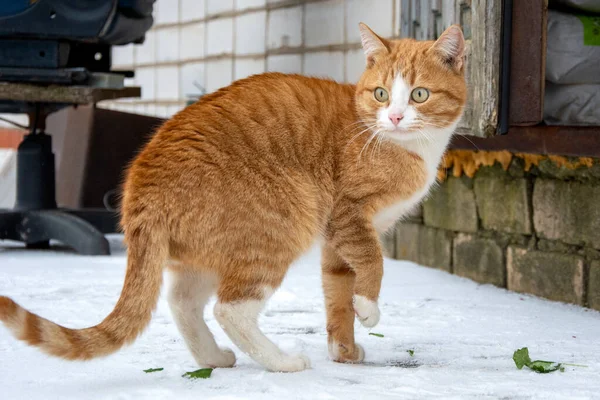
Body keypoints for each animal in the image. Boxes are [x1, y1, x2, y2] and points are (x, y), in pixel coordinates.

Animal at [0, 23, 468, 374]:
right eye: (381, 94)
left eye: (420, 94)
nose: (395, 117)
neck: (394, 140)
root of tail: (141, 186)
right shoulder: (348, 217)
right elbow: (373, 263)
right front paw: (369, 310)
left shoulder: (337, 245)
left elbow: (338, 298)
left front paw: (345, 351)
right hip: (283, 221)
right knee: (231, 309)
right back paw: (281, 362)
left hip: (208, 250)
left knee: (183, 301)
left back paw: (212, 358)